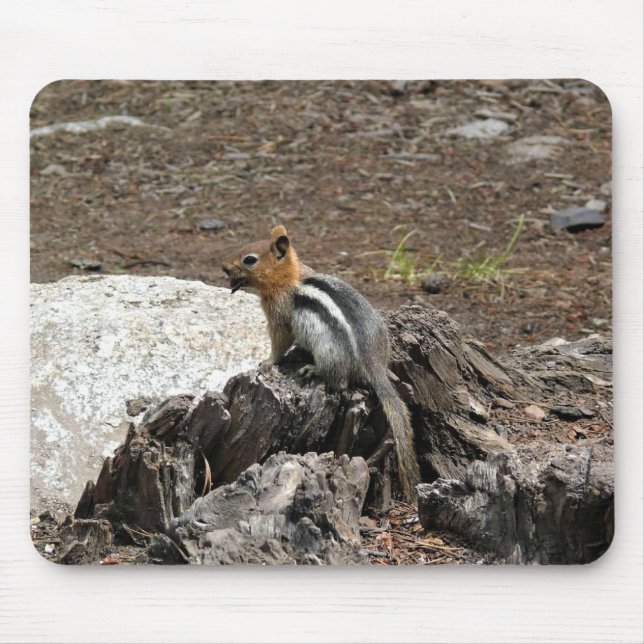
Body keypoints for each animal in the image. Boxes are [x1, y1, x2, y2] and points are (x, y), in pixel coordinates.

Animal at [222, 225, 421, 501]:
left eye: (249, 259)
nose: (223, 267)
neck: (290, 278)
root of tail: (374, 364)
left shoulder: (280, 315)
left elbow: (280, 343)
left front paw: (267, 362)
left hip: (329, 352)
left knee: (340, 381)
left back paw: (312, 369)